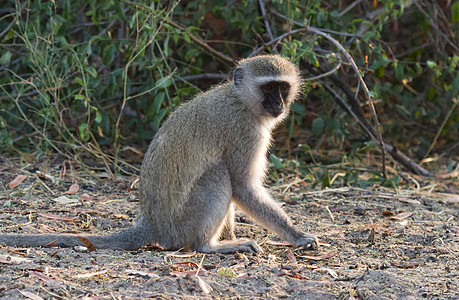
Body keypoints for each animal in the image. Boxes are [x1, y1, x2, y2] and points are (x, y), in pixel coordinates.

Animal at [0, 55, 320, 253]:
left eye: (282, 87)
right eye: (269, 88)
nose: (279, 103)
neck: (241, 100)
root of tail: (152, 226)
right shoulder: (246, 132)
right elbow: (243, 187)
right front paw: (297, 235)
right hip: (181, 224)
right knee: (218, 174)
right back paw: (210, 245)